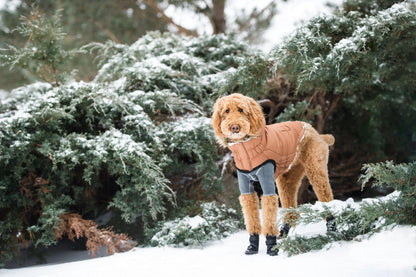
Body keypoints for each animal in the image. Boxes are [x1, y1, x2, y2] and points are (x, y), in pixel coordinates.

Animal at [213, 92, 336, 254]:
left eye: (241, 110)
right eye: (226, 111)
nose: (235, 127)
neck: (246, 148)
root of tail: (315, 132)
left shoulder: (267, 185)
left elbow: (269, 212)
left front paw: (271, 245)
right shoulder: (246, 187)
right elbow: (251, 215)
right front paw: (253, 245)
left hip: (315, 169)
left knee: (327, 198)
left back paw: (332, 229)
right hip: (287, 178)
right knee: (292, 210)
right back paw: (283, 233)